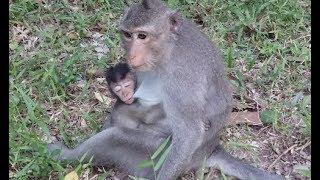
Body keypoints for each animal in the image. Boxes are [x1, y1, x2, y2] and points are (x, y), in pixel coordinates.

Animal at [118, 0, 282, 179]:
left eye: (142, 36)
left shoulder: (181, 80)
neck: (169, 49)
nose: (131, 56)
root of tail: (211, 148)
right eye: (127, 35)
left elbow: (190, 133)